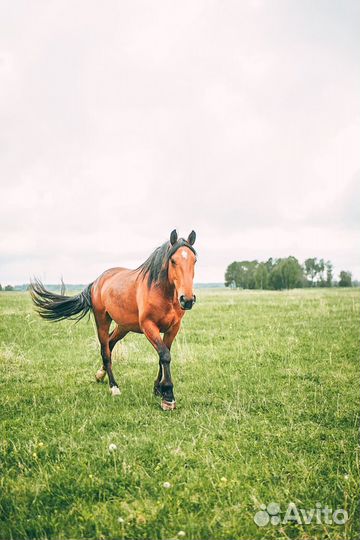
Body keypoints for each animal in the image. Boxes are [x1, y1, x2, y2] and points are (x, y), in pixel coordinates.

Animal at [29, 230, 197, 412]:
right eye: (173, 261)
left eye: (195, 260)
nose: (187, 299)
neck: (161, 292)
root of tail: (97, 281)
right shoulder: (148, 326)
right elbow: (165, 355)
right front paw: (168, 397)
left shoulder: (173, 328)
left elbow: (163, 356)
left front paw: (158, 389)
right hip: (102, 320)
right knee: (105, 350)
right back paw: (113, 387)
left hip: (123, 326)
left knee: (110, 343)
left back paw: (100, 374)